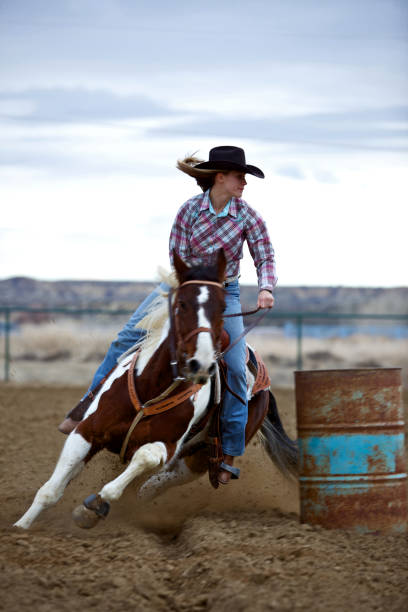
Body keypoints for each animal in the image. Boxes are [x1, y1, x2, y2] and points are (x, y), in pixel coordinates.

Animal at [15, 249, 296, 532]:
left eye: (223, 308)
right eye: (181, 304)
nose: (200, 363)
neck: (151, 388)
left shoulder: (167, 445)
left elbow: (144, 458)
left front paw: (93, 507)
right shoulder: (86, 431)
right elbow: (50, 490)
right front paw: (20, 528)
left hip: (201, 455)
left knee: (165, 479)